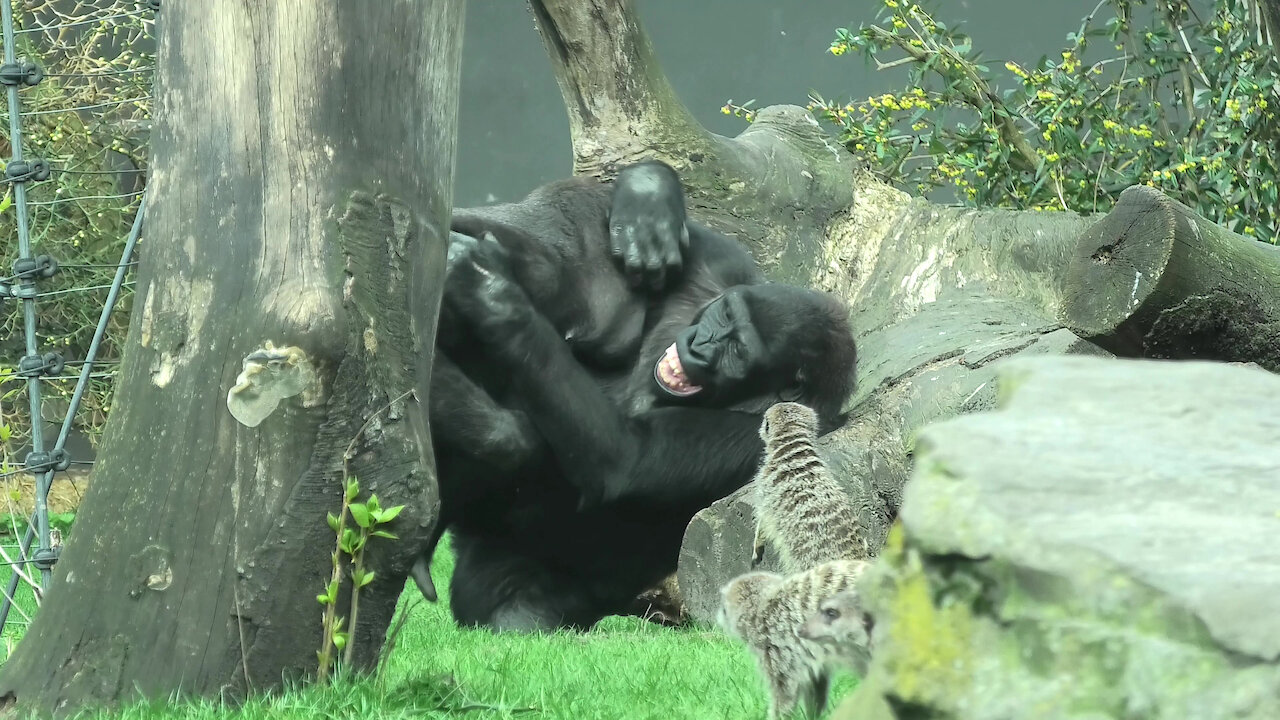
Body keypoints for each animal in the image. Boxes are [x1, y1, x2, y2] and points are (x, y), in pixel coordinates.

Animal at [422, 159, 860, 630]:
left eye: (739, 350)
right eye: (725, 315)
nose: (699, 346)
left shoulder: (758, 433)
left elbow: (626, 457)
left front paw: (494, 294)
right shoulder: (720, 269)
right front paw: (647, 202)